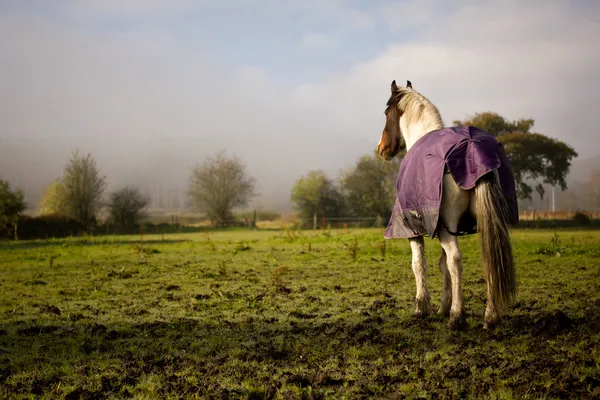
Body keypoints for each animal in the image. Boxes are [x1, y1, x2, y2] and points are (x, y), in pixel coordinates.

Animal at [378, 79, 516, 330]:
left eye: (386, 113)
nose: (381, 149)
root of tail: (472, 148)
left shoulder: (415, 228)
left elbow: (419, 264)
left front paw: (422, 308)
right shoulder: (444, 228)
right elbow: (442, 266)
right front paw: (442, 306)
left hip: (446, 226)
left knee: (455, 261)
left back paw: (457, 316)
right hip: (480, 224)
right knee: (489, 258)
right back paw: (490, 316)